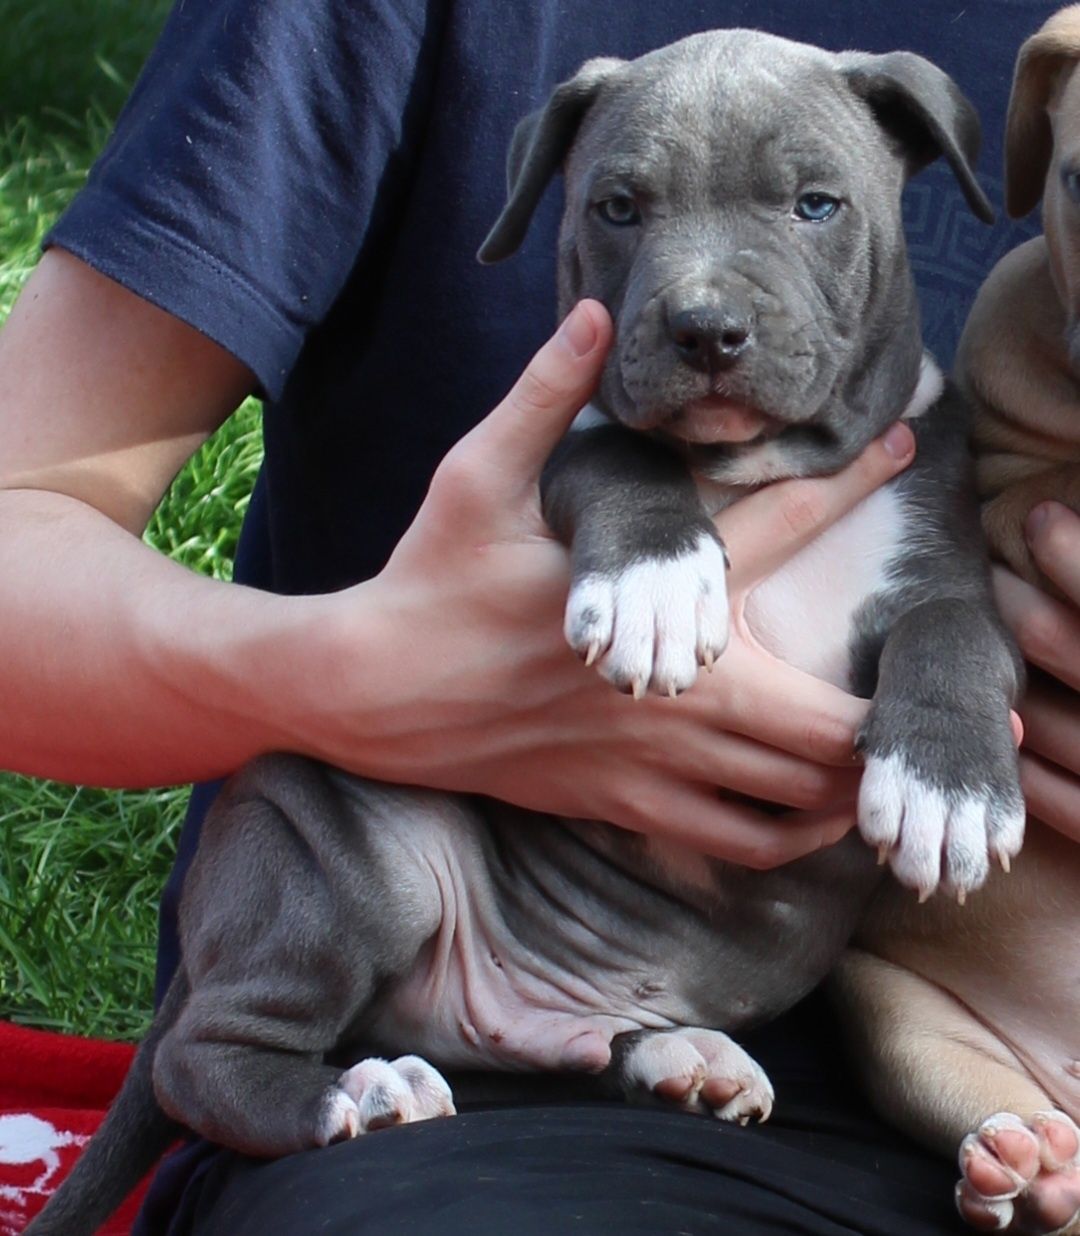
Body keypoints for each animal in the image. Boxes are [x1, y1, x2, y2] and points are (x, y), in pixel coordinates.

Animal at [25, 29, 1018, 1236]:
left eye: (816, 204)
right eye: (619, 207)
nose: (704, 328)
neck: (754, 468)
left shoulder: (948, 570)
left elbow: (954, 636)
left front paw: (947, 787)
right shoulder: (564, 432)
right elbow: (617, 452)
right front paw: (655, 584)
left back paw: (677, 1056)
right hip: (342, 844)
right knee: (204, 1059)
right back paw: (355, 1094)